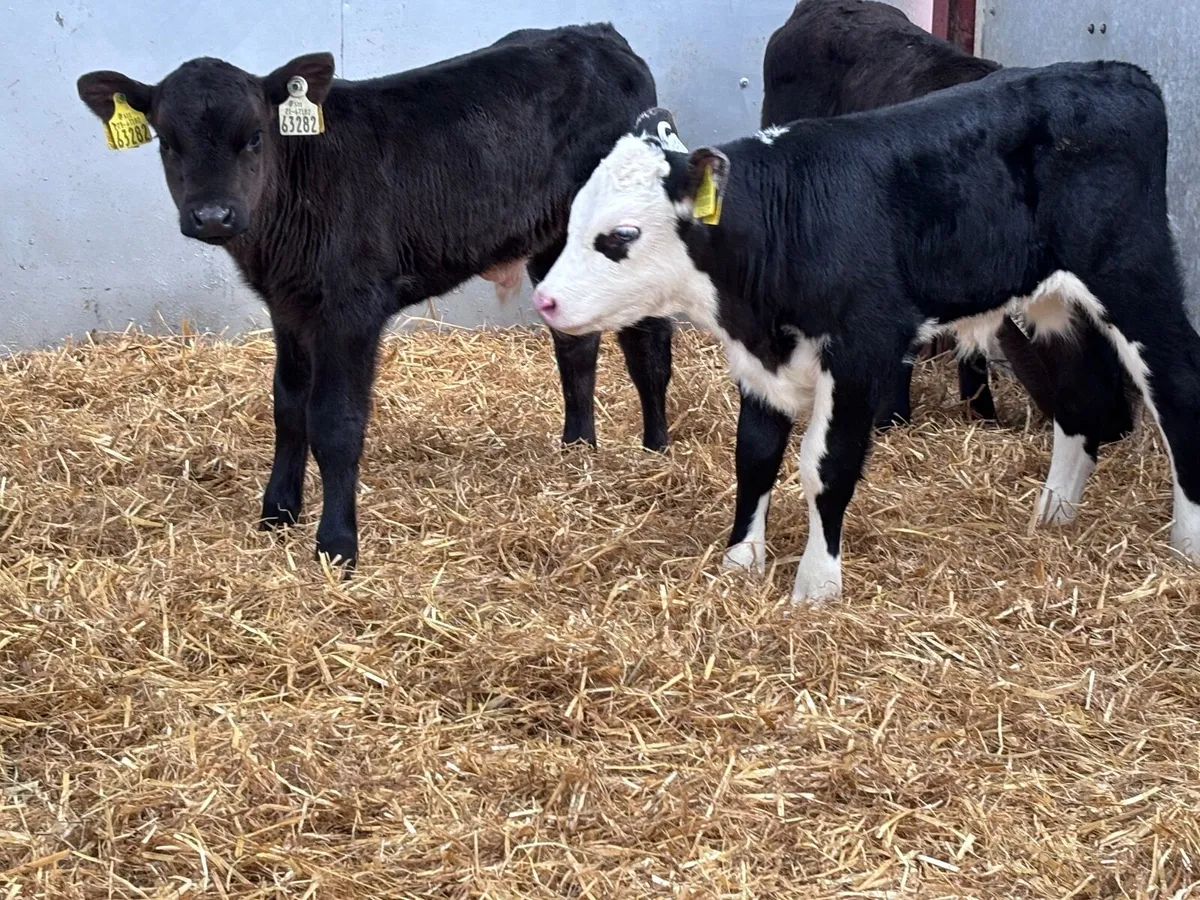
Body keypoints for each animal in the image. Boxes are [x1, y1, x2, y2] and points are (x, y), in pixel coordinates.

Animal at [77, 24, 673, 570]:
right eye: (167, 141)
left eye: (254, 136)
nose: (213, 216)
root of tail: (594, 33)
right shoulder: (288, 306)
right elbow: (288, 405)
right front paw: (278, 512)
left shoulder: (352, 307)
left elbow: (335, 420)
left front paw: (337, 544)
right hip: (554, 240)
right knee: (575, 342)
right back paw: (578, 450)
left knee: (649, 346)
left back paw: (656, 451)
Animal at [530, 60, 1200, 603]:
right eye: (574, 218)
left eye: (621, 235)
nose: (545, 300)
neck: (787, 221)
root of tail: (1116, 73)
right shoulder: (759, 361)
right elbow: (754, 455)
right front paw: (739, 563)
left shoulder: (860, 349)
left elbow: (825, 465)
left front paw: (816, 585)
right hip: (1055, 301)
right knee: (1080, 398)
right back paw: (1054, 515)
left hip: (1134, 276)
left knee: (1176, 386)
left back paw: (1187, 541)